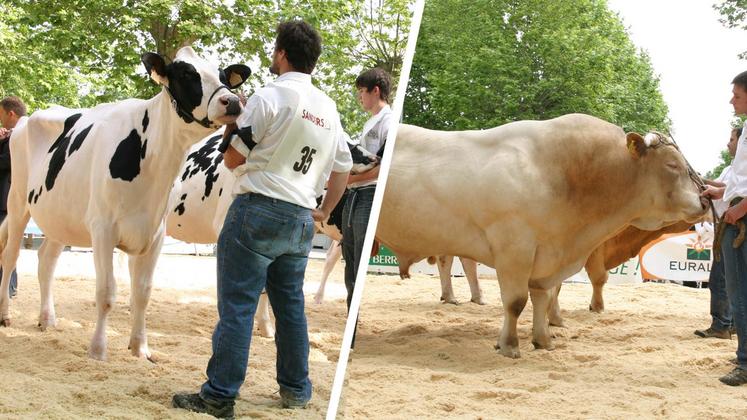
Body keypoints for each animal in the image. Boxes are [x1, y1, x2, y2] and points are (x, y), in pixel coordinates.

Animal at [0, 46, 251, 360]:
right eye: (186, 73)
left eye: (223, 76)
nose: (233, 101)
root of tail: (25, 121)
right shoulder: (103, 228)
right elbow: (106, 293)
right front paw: (98, 350)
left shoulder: (154, 233)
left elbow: (142, 293)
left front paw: (140, 348)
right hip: (18, 202)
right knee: (10, 256)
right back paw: (5, 315)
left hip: (60, 216)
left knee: (46, 260)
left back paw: (47, 319)